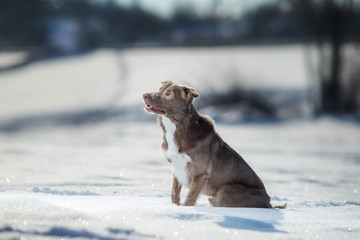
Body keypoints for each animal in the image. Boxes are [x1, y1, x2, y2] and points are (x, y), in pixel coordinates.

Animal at [142, 81, 272, 207]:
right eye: (160, 90)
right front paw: (175, 207)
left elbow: (190, 198)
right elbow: (174, 193)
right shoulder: (177, 167)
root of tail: (269, 202)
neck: (177, 125)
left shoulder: (200, 174)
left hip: (225, 190)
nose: (144, 95)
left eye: (168, 94)